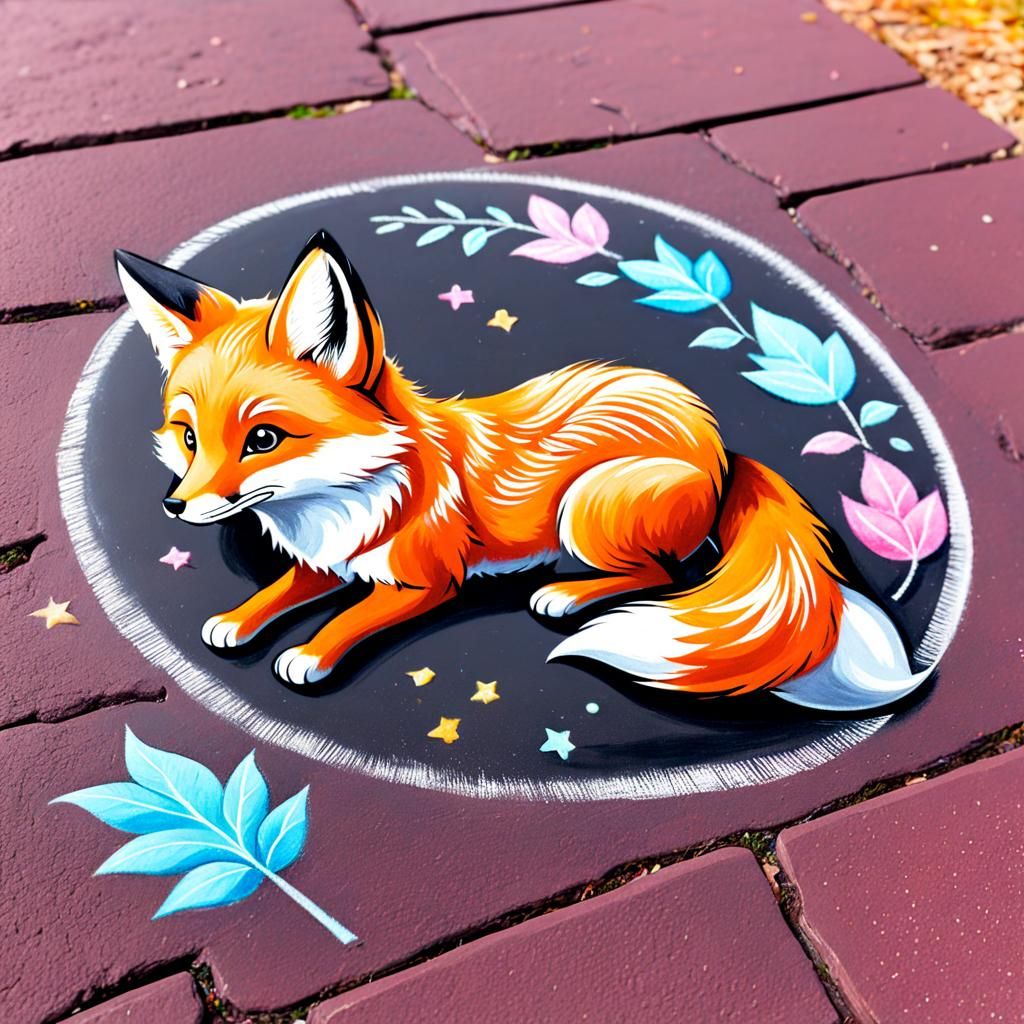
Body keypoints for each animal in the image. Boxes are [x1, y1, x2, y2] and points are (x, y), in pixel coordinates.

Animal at [114, 228, 928, 711]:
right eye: (188, 437)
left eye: (263, 439)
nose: (174, 509)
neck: (344, 498)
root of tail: (720, 444)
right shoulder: (325, 559)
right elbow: (283, 590)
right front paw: (238, 619)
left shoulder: (425, 581)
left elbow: (350, 615)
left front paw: (310, 652)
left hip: (586, 509)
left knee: (663, 572)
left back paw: (567, 596)